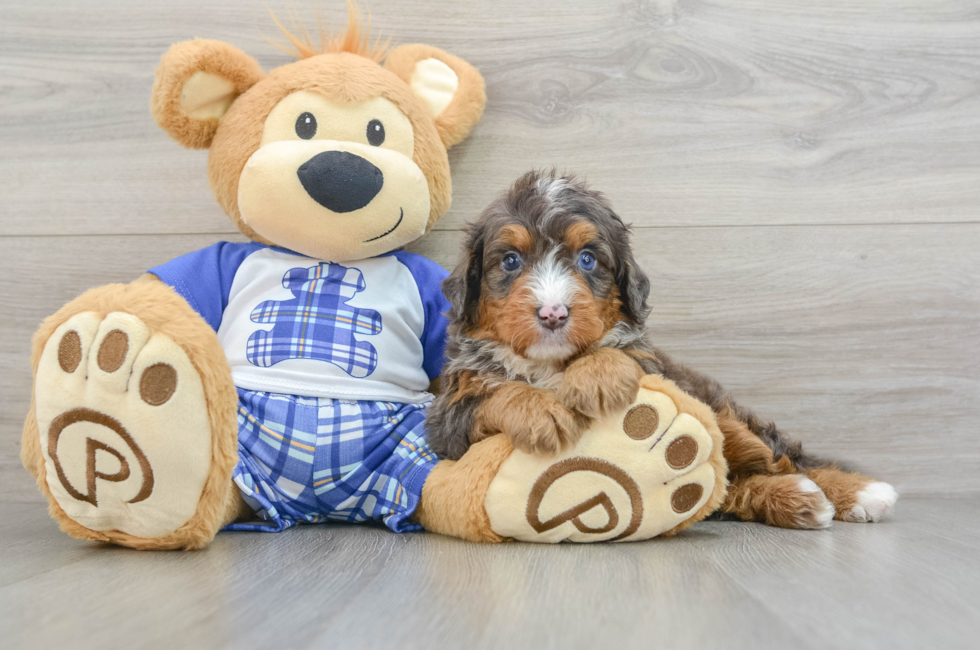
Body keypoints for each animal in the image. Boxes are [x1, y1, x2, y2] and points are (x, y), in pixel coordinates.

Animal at [424, 170, 900, 528]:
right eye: (510, 261)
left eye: (587, 259)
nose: (553, 313)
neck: (551, 365)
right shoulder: (448, 418)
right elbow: (497, 393)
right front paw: (543, 411)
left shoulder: (650, 364)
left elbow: (618, 354)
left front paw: (598, 377)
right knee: (730, 485)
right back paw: (802, 500)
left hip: (720, 410)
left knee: (776, 458)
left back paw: (857, 492)